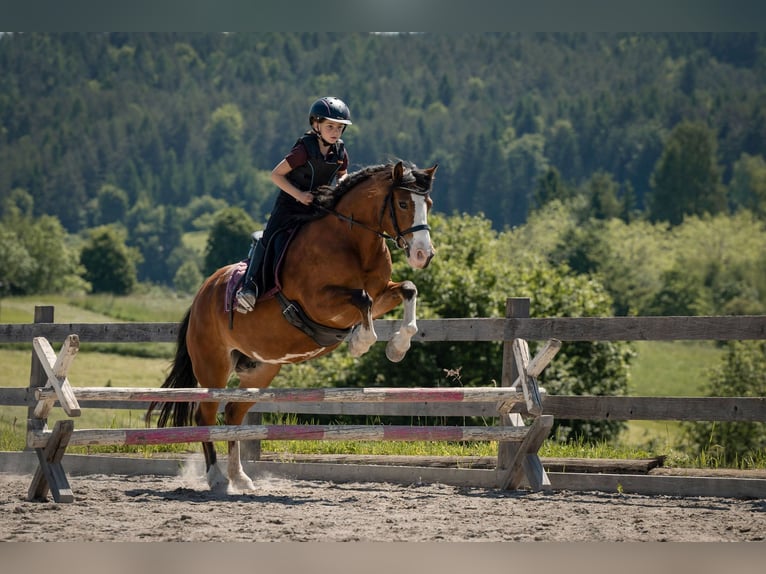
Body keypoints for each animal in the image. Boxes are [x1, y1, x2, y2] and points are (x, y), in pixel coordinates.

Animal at [147, 160, 438, 492]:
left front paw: (397, 347)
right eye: (403, 203)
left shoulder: (380, 296)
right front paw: (360, 343)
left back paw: (240, 477)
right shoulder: (319, 302)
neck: (353, 241)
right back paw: (217, 478)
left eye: (428, 204)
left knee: (233, 411)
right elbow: (362, 299)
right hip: (213, 366)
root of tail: (201, 296)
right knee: (205, 414)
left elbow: (407, 289)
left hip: (261, 369)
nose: (424, 255)